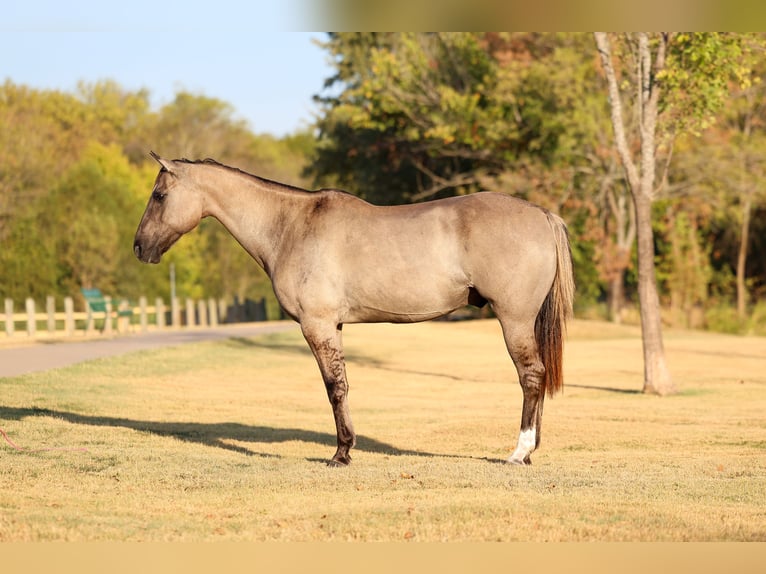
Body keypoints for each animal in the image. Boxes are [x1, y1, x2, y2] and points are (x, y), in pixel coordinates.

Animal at [134, 152, 574, 467]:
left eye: (159, 195)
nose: (139, 247)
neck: (291, 226)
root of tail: (541, 213)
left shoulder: (318, 325)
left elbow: (335, 387)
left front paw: (342, 453)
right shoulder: (337, 326)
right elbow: (343, 384)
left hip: (514, 319)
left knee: (530, 376)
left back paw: (519, 452)